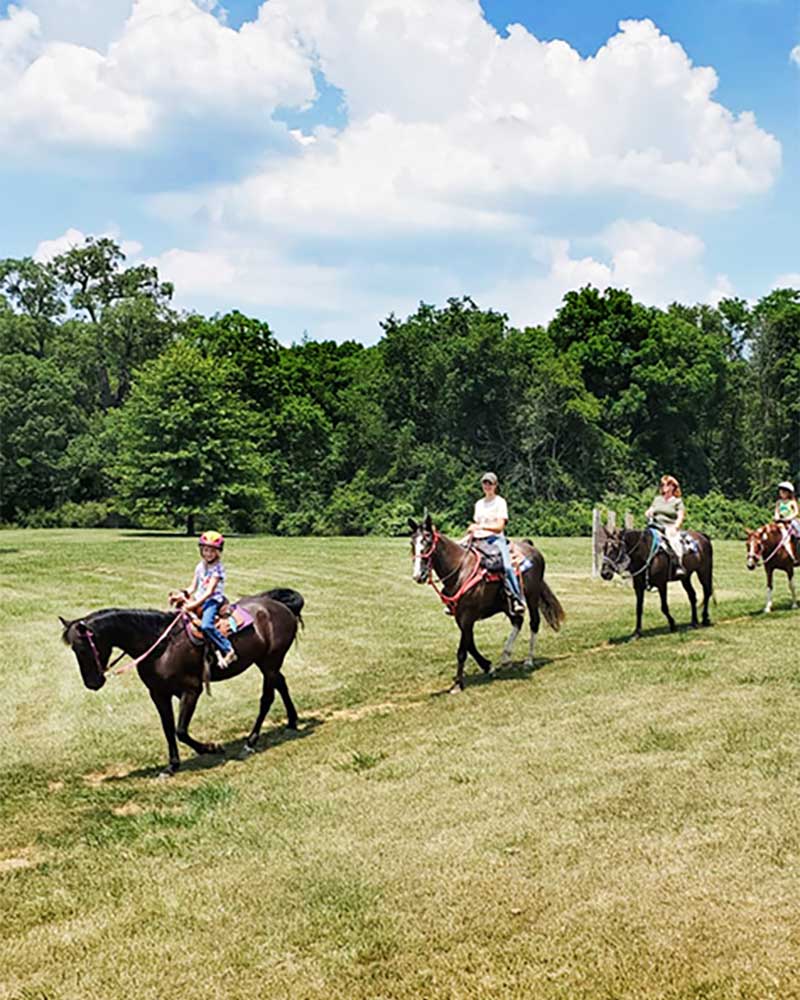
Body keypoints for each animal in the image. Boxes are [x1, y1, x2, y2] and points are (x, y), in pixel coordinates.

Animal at [61, 588, 304, 776]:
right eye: (73, 649)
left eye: (83, 648)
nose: (92, 683)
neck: (162, 645)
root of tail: (277, 605)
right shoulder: (158, 693)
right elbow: (168, 728)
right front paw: (172, 766)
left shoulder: (191, 690)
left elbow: (181, 730)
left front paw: (211, 748)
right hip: (266, 663)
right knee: (281, 683)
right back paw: (292, 721)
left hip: (270, 662)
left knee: (267, 698)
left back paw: (251, 741)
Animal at [410, 512, 564, 692]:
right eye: (412, 543)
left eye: (427, 542)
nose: (418, 576)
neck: (460, 570)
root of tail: (531, 547)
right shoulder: (460, 617)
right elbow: (470, 644)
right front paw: (488, 667)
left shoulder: (467, 616)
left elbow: (462, 650)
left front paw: (458, 684)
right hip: (507, 605)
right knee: (517, 621)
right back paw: (505, 658)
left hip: (532, 597)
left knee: (534, 623)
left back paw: (528, 660)